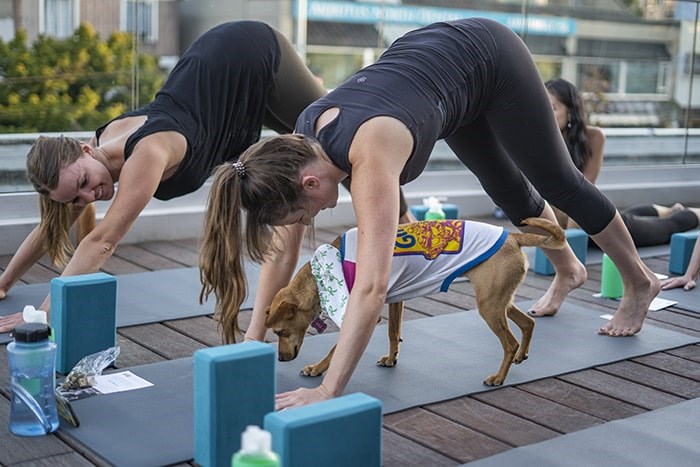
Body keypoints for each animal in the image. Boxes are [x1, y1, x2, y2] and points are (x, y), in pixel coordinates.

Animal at [266, 219, 568, 388]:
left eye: (279, 332)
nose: (280, 359)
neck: (325, 269)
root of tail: (513, 236)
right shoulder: (394, 301)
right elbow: (393, 333)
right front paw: (392, 359)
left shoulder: (362, 312)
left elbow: (336, 349)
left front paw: (317, 369)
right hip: (498, 301)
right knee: (528, 323)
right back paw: (521, 356)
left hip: (490, 306)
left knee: (510, 342)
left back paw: (498, 377)